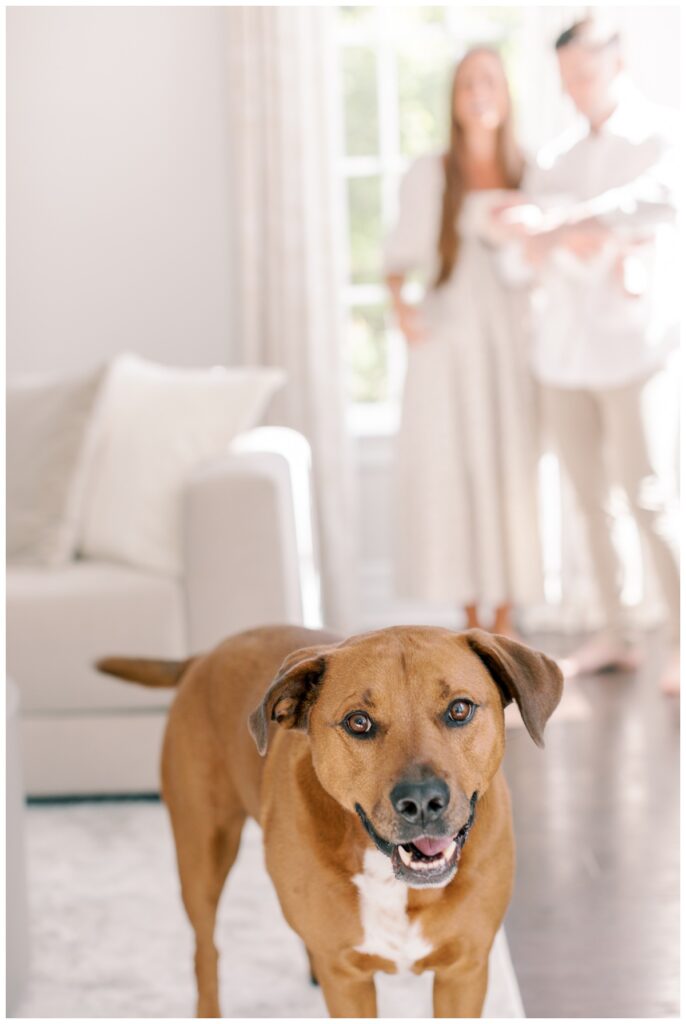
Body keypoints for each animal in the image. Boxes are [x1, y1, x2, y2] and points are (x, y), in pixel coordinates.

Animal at [98, 622, 565, 1015]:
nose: (421, 801)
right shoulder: (348, 983)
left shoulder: (464, 972)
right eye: (358, 722)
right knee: (205, 952)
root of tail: (203, 657)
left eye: (460, 710)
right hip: (202, 854)